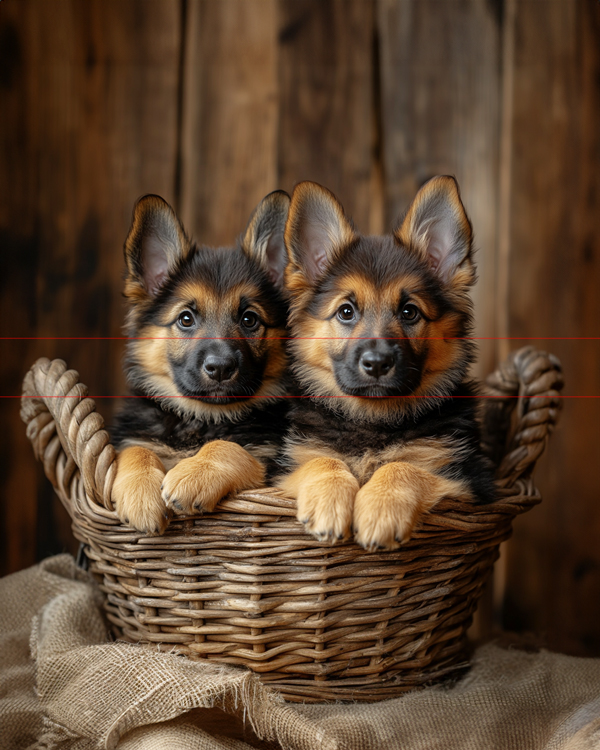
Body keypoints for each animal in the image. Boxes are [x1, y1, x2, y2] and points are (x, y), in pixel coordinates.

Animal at [112, 191, 290, 536]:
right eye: (185, 319)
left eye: (249, 319)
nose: (220, 368)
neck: (203, 418)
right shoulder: (135, 438)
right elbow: (136, 450)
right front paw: (140, 493)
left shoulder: (268, 461)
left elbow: (228, 446)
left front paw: (194, 473)